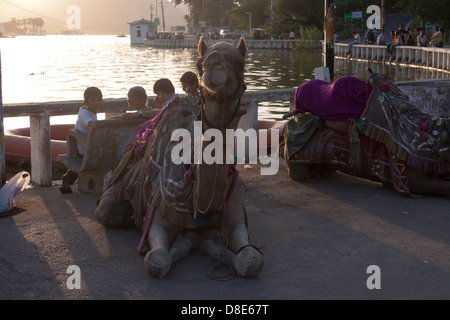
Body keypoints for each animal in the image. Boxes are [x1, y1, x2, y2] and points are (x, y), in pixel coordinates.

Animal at [95, 37, 264, 278]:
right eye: (199, 63)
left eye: (241, 63)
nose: (213, 65)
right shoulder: (159, 218)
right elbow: (156, 260)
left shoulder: (236, 218)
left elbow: (251, 260)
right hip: (115, 189)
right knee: (105, 211)